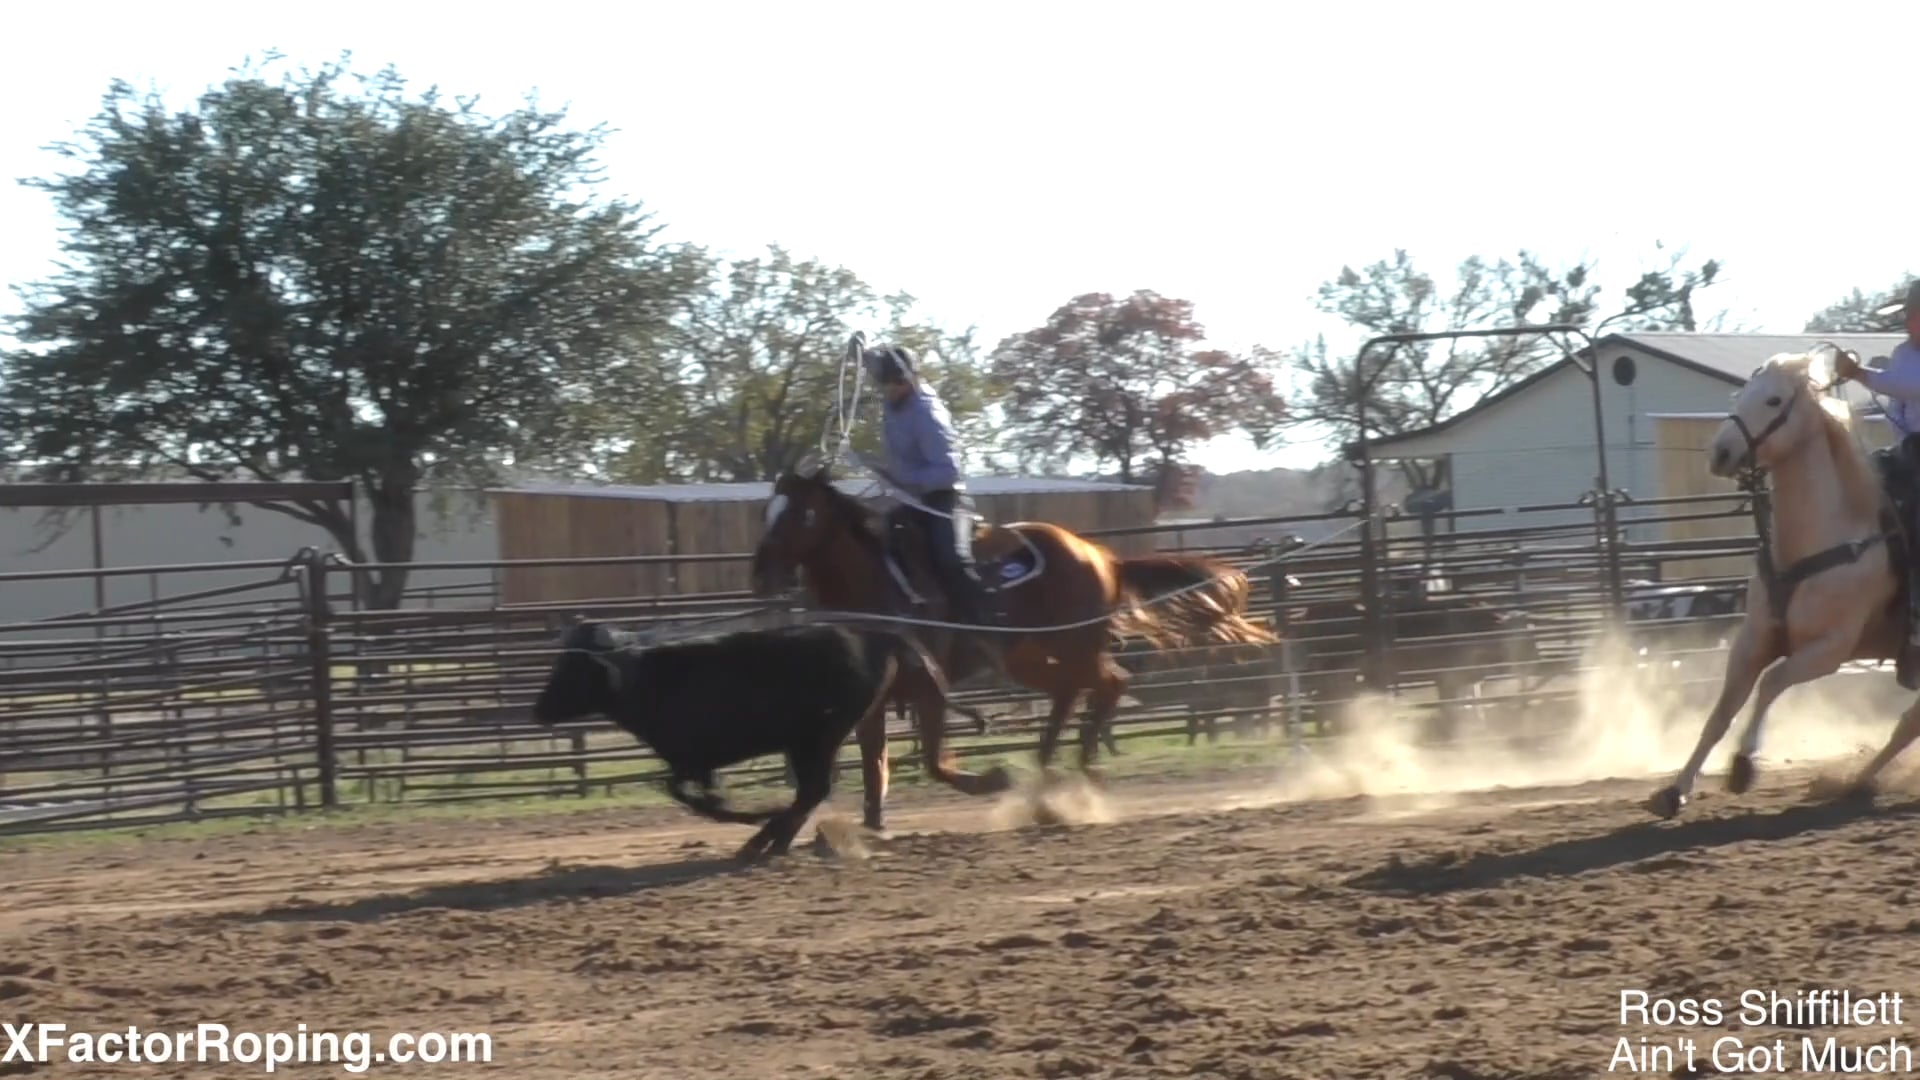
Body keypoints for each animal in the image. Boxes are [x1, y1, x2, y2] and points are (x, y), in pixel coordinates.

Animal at [748, 457, 1274, 826]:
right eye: (767, 512)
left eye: (802, 514)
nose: (761, 573)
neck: (880, 584)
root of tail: (1101, 556)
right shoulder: (876, 699)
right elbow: (874, 759)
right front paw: (870, 825)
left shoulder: (929, 689)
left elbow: (934, 761)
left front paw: (995, 778)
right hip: (1031, 656)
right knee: (1075, 692)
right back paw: (1048, 776)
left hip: (1074, 646)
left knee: (1109, 684)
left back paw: (1080, 773)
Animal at [1643, 345, 1912, 814]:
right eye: (1742, 393)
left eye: (1773, 401)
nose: (1720, 452)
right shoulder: (1752, 640)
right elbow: (1721, 711)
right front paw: (1675, 790)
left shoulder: (1828, 650)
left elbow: (1770, 684)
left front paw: (1743, 766)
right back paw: (1856, 783)